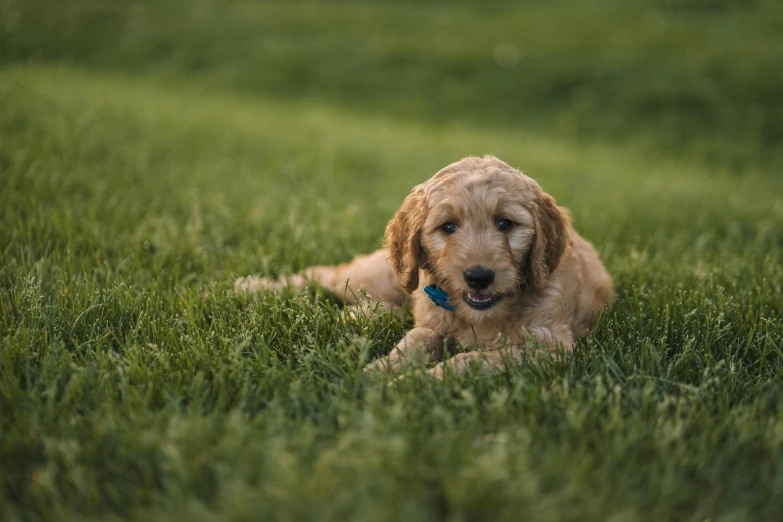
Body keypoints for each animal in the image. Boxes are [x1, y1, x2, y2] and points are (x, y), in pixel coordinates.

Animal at [236, 156, 616, 376]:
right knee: (322, 275)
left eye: (505, 224)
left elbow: (469, 361)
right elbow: (414, 343)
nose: (479, 277)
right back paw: (246, 287)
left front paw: (415, 382)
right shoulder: (432, 324)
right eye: (448, 227)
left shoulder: (546, 347)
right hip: (383, 274)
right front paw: (379, 374)